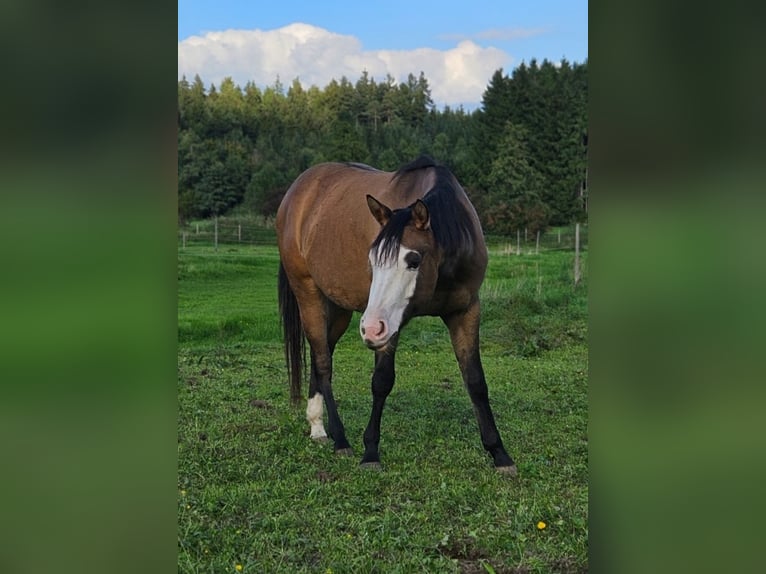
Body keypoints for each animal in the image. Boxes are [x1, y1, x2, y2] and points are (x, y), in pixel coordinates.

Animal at [276, 155, 516, 475]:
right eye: (372, 259)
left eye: (413, 260)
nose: (368, 328)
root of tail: (297, 191)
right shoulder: (389, 326)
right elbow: (381, 381)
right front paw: (370, 452)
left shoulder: (465, 311)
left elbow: (475, 380)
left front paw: (499, 453)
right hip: (309, 293)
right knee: (324, 364)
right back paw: (341, 439)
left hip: (339, 307)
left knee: (321, 354)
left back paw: (317, 427)